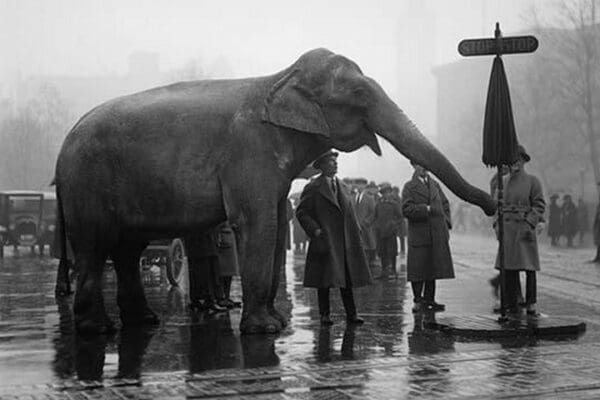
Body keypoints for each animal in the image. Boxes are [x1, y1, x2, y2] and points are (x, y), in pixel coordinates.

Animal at [55, 47, 496, 334]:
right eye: (359, 94)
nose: (493, 205)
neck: (281, 78)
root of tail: (64, 145)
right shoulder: (249, 150)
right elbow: (258, 223)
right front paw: (264, 329)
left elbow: (276, 222)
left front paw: (278, 323)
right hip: (86, 185)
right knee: (95, 245)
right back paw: (97, 328)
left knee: (128, 249)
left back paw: (142, 321)